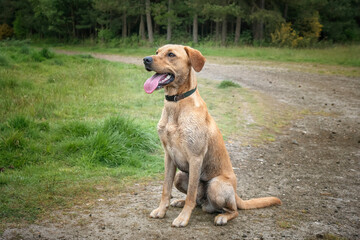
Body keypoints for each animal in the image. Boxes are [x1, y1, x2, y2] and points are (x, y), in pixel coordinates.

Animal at [142, 45, 280, 227]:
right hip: (181, 176)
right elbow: (166, 188)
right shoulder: (169, 156)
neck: (176, 104)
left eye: (171, 54)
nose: (146, 59)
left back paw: (222, 216)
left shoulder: (195, 157)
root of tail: (236, 194)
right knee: (198, 201)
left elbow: (191, 194)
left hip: (216, 185)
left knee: (232, 210)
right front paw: (161, 210)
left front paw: (183, 218)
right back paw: (180, 201)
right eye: (157, 52)